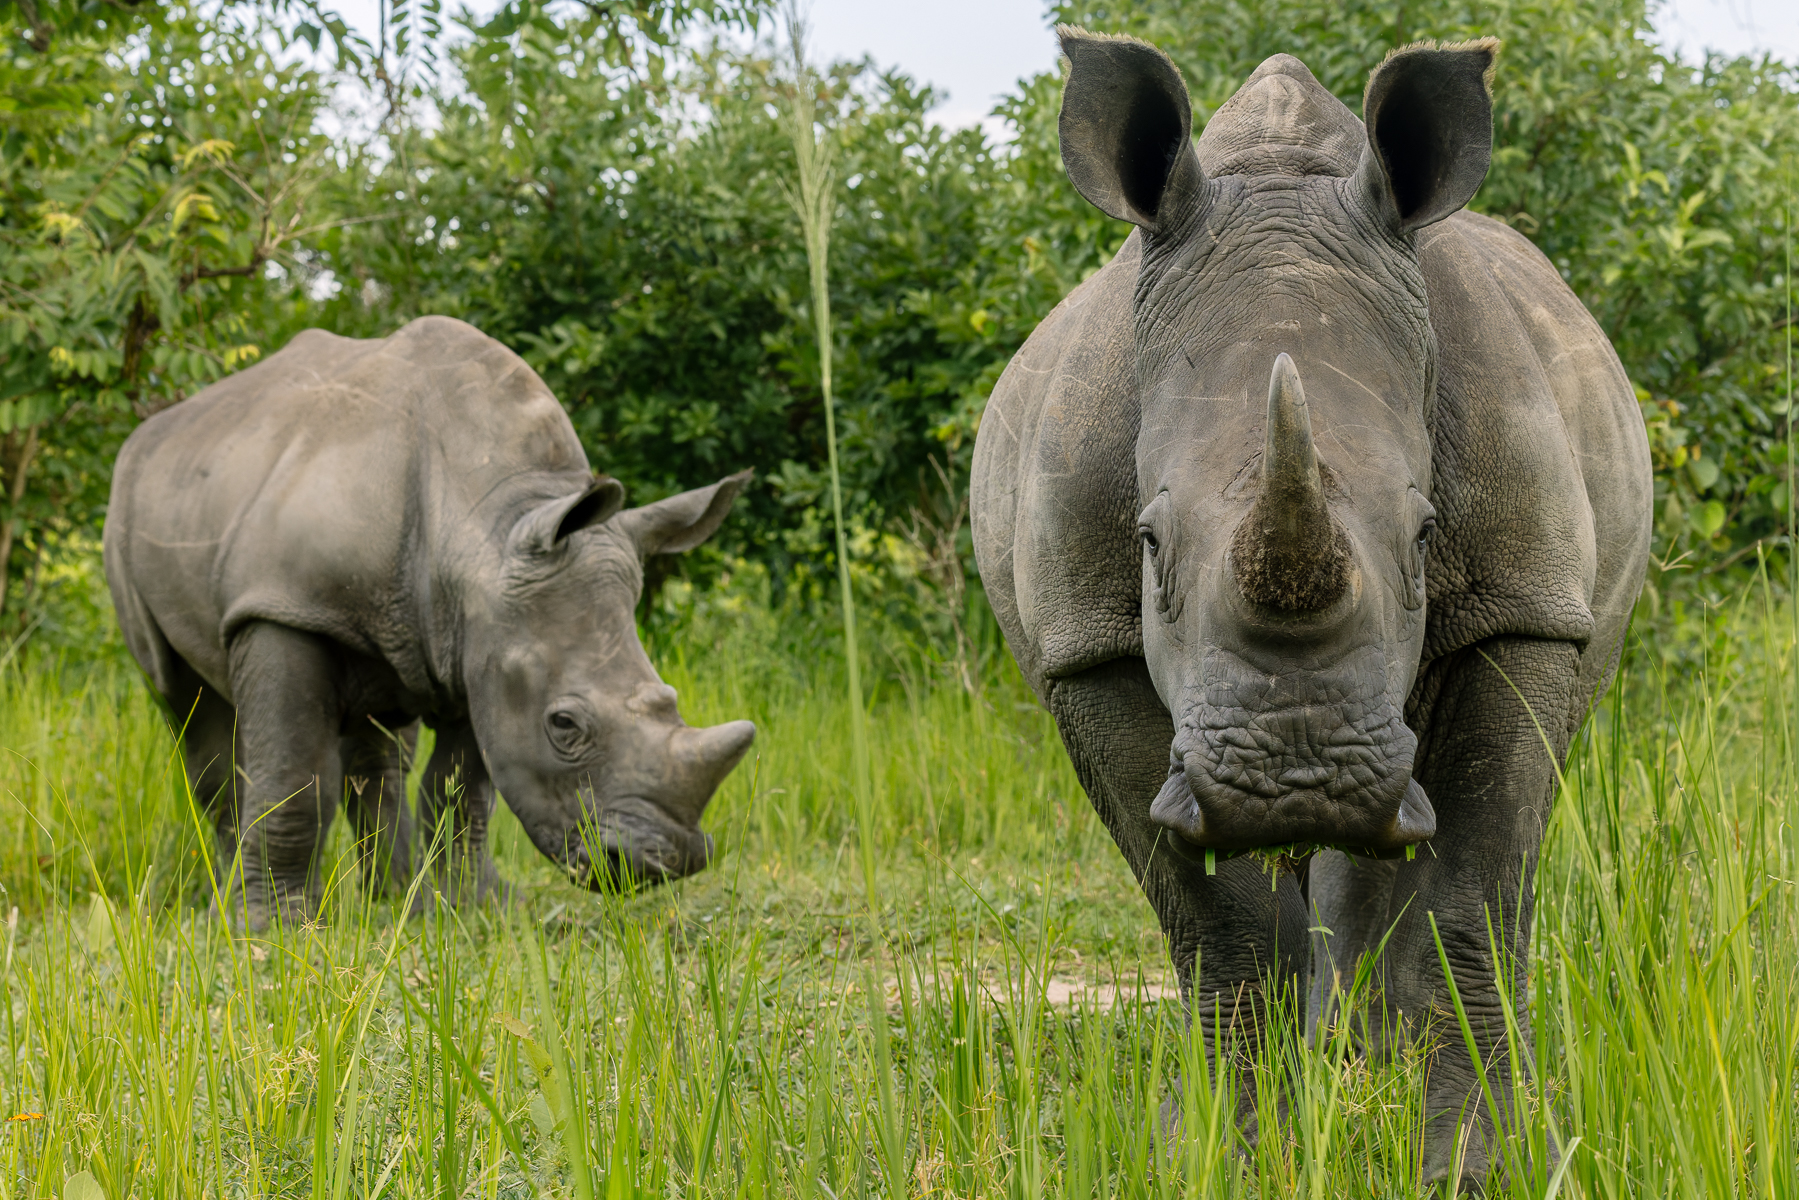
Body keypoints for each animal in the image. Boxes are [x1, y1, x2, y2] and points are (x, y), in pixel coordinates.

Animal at [104, 316, 756, 926]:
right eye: (565, 725)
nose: (661, 865)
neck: (488, 520)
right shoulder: (284, 606)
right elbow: (291, 780)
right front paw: (272, 929)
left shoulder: (485, 641)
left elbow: (461, 791)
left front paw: (475, 908)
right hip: (131, 515)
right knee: (185, 705)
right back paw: (231, 901)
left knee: (380, 742)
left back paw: (393, 901)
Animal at [971, 30, 1650, 1186]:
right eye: (1146, 542)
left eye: (1424, 534)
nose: (1297, 783)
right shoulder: (1085, 644)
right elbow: (1219, 931)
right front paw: (1225, 1158)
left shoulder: (1524, 603)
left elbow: (1472, 903)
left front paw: (1477, 1166)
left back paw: (1364, 1054)